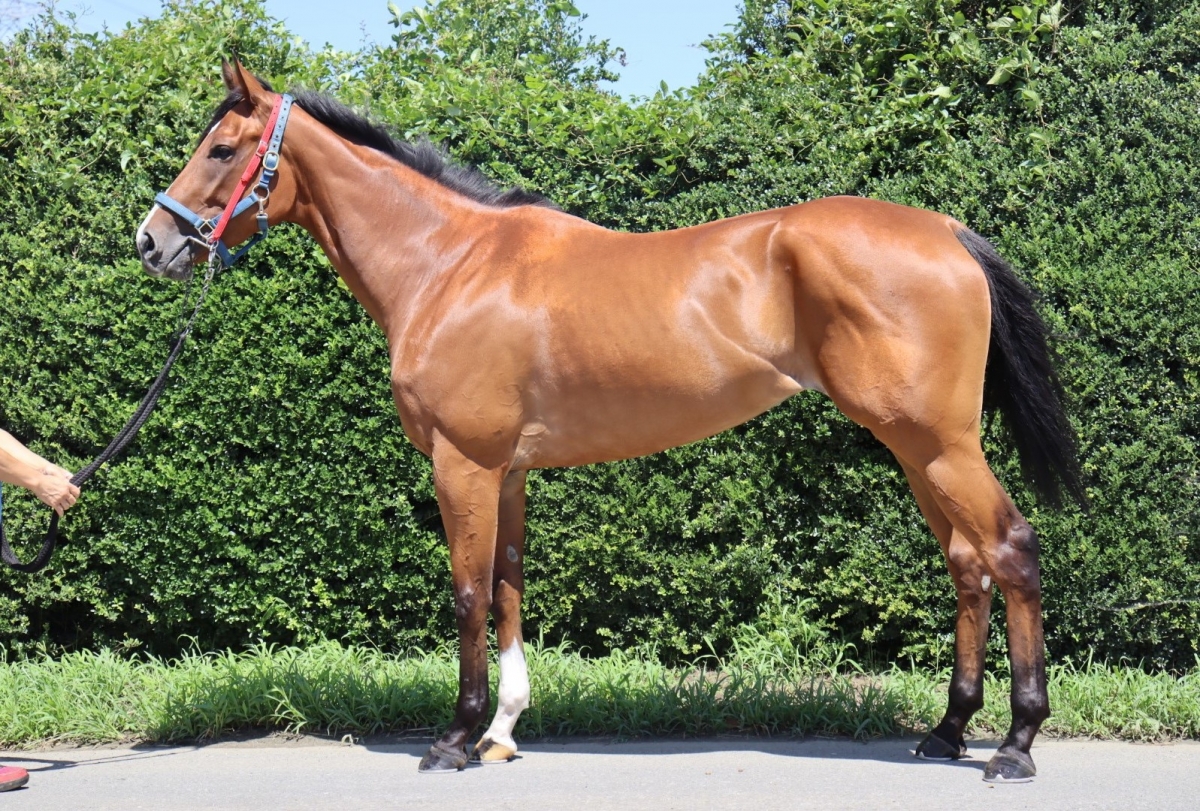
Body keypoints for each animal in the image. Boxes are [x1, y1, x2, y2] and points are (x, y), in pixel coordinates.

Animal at [136, 60, 1083, 781]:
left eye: (222, 148)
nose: (152, 241)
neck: (449, 264)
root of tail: (948, 231)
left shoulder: (463, 463)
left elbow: (468, 593)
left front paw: (455, 738)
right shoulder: (509, 470)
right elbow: (509, 586)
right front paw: (502, 731)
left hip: (939, 443)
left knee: (1012, 549)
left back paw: (1015, 742)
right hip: (915, 449)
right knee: (966, 563)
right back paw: (948, 731)